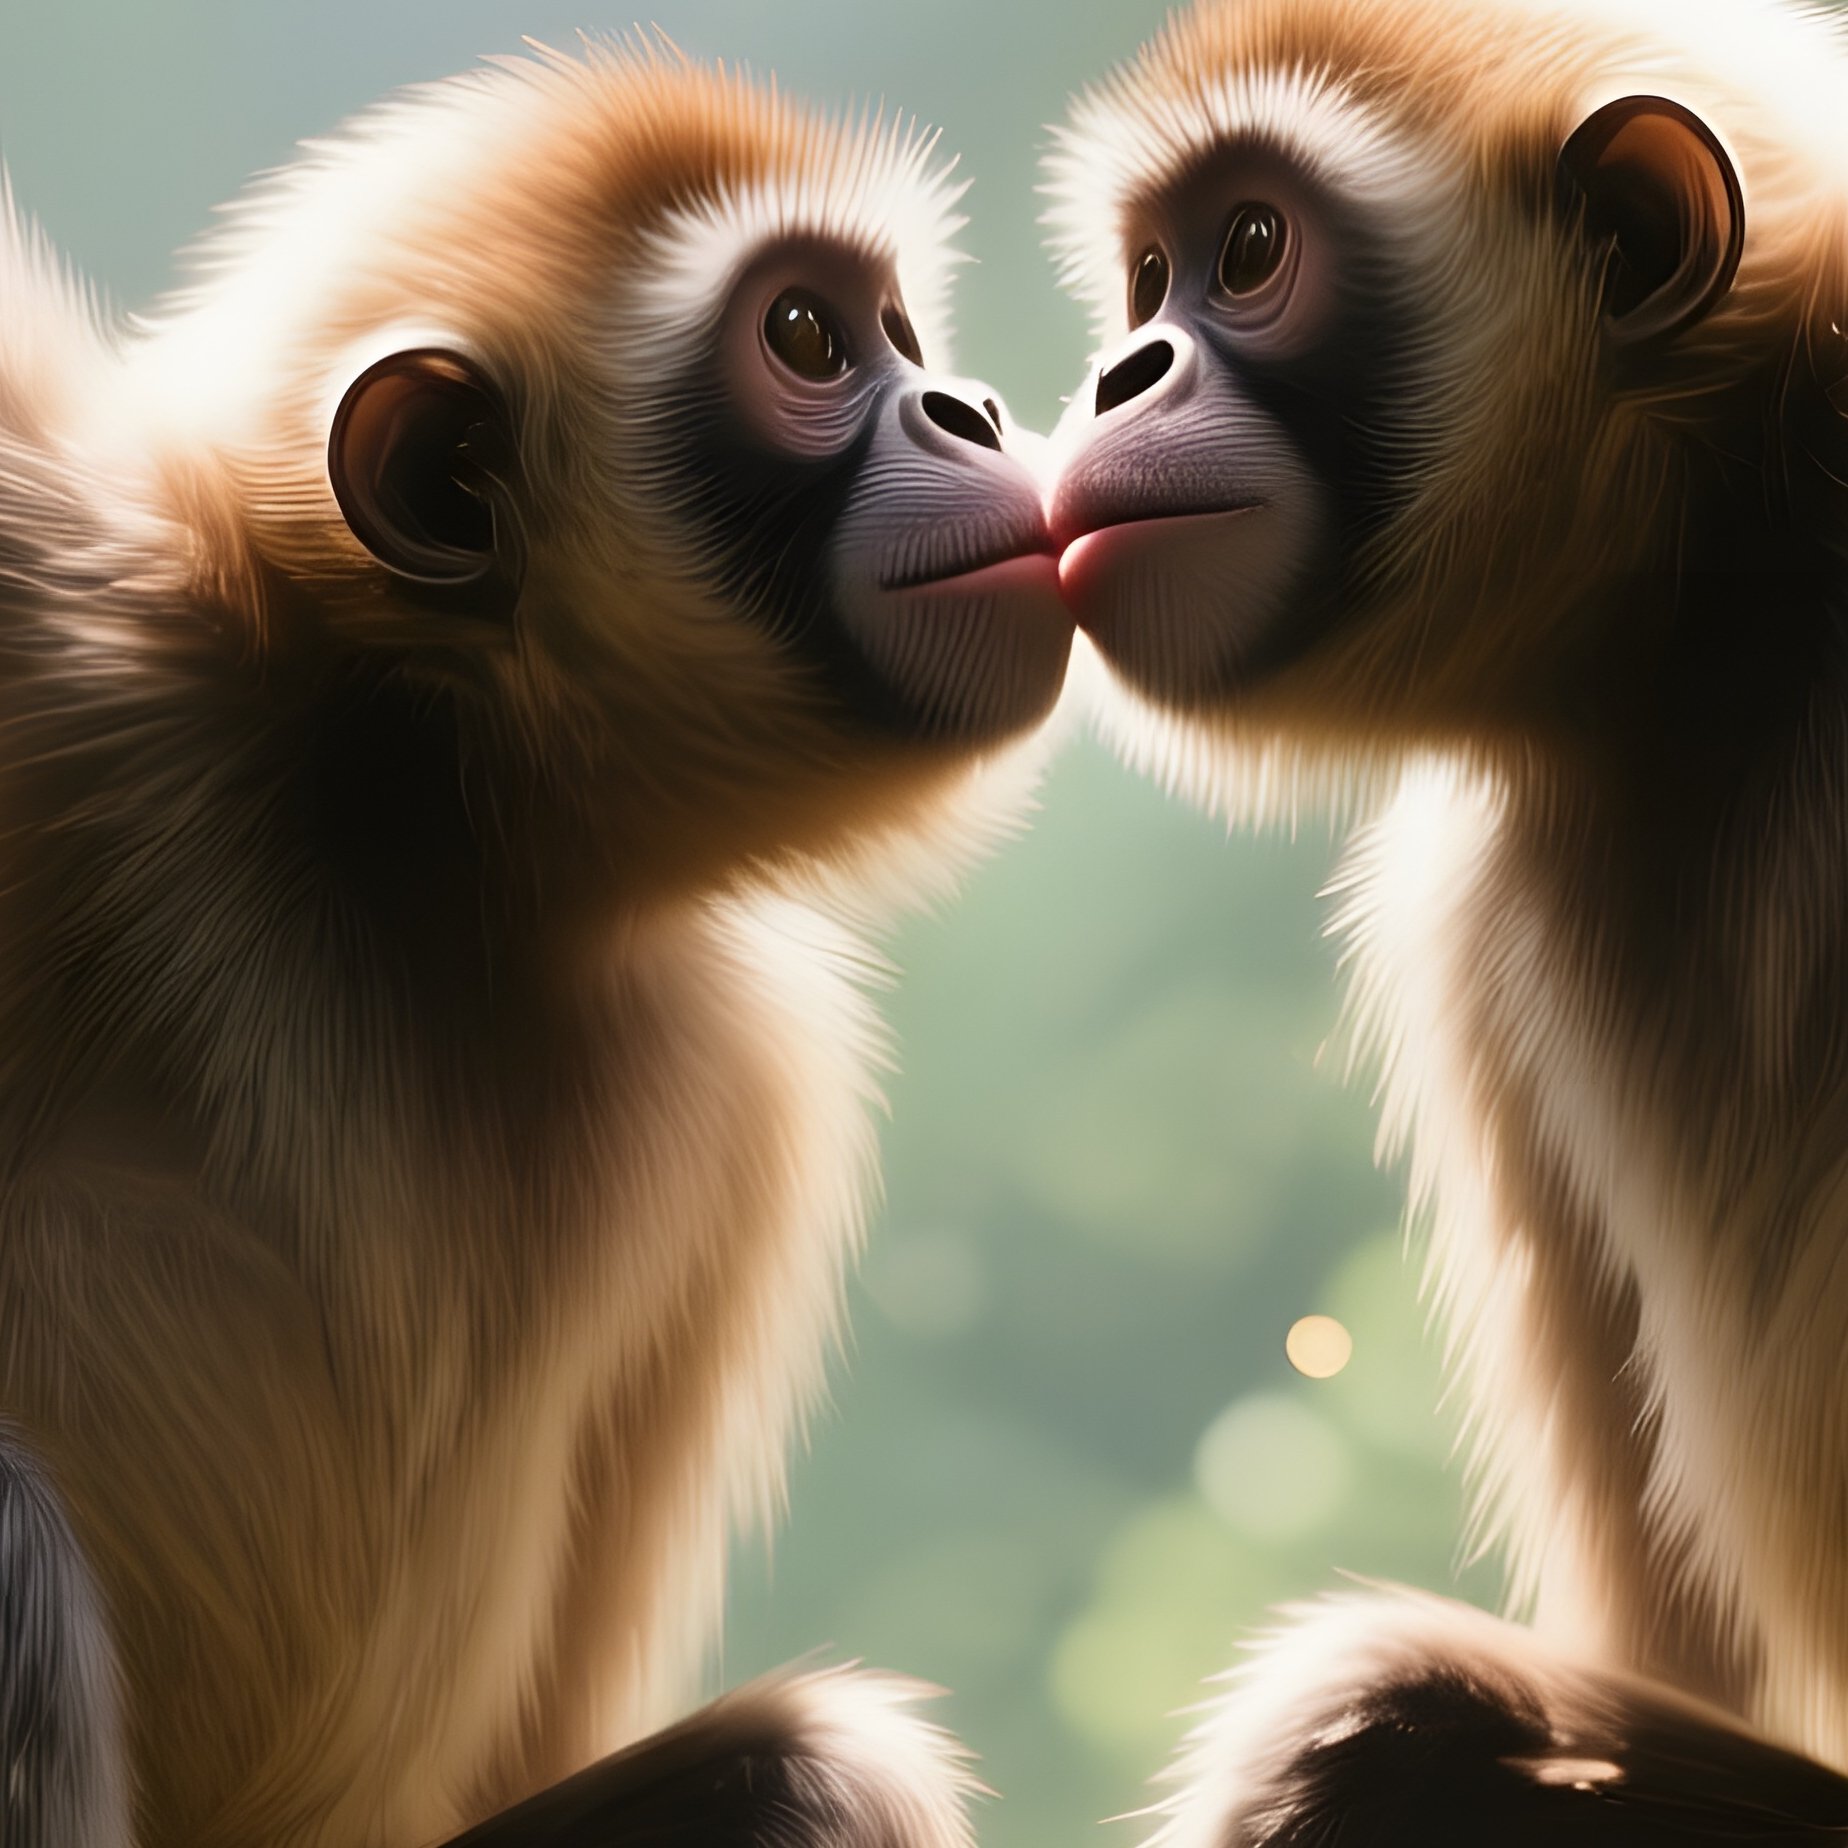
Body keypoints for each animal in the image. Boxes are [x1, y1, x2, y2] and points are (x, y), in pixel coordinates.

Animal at [0, 40, 1073, 1848]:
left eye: (907, 339)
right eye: (809, 339)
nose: (974, 409)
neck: (421, 838)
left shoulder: (748, 1080)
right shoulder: (93, 660)